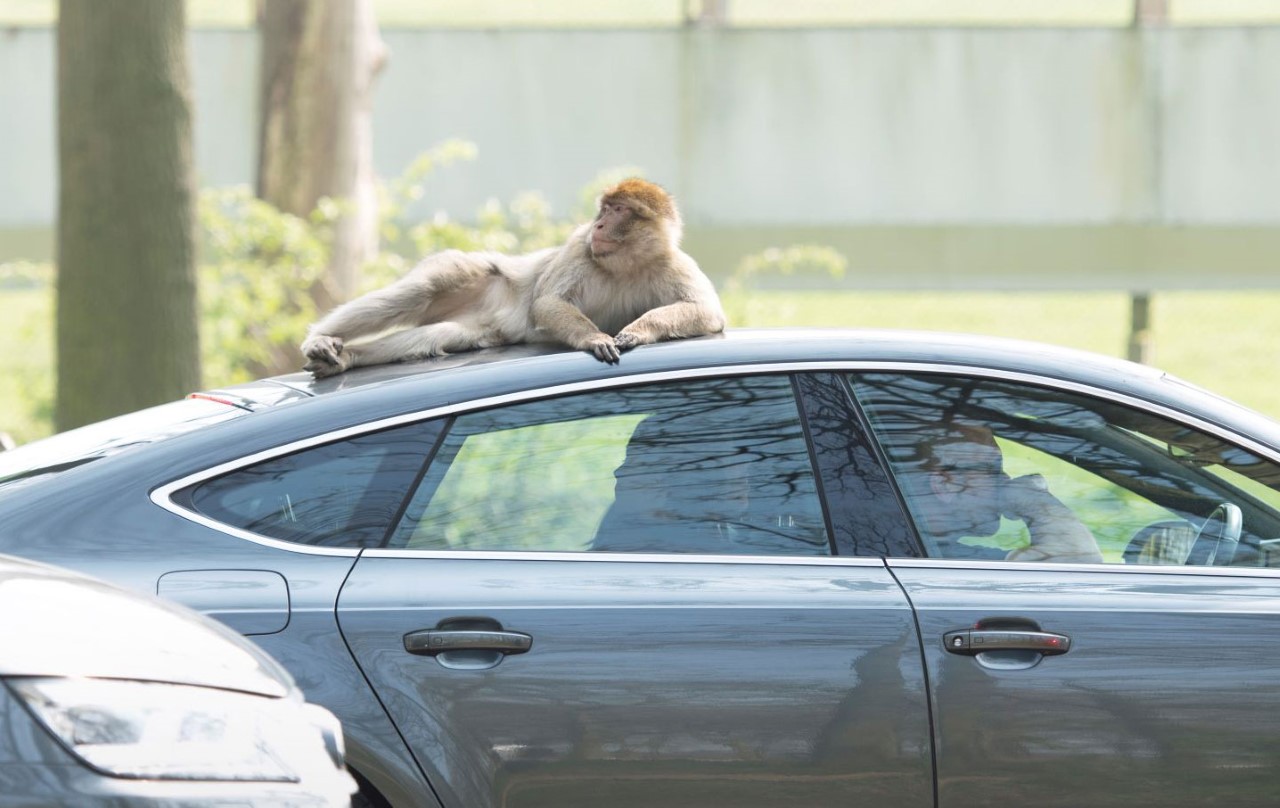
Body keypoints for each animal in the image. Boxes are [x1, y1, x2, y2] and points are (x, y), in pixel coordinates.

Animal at [296, 176, 721, 376]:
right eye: (604, 209)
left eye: (618, 210)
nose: (599, 224)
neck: (626, 264)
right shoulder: (579, 247)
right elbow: (547, 302)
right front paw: (594, 337)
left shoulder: (673, 262)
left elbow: (707, 313)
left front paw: (637, 330)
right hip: (476, 276)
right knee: (422, 290)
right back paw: (320, 340)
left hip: (479, 323)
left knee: (444, 334)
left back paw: (348, 358)